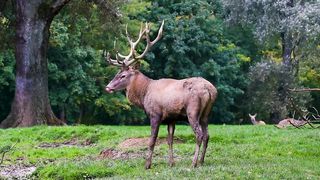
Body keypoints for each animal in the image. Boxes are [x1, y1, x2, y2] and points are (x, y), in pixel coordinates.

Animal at [104, 21, 218, 169]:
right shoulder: (171, 118)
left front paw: (147, 164)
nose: (108, 87)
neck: (144, 94)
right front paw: (171, 163)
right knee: (207, 135)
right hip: (206, 114)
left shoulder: (155, 114)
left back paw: (193, 163)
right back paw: (202, 161)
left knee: (199, 134)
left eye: (123, 75)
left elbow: (152, 139)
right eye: (116, 74)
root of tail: (210, 89)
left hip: (192, 110)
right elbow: (170, 140)